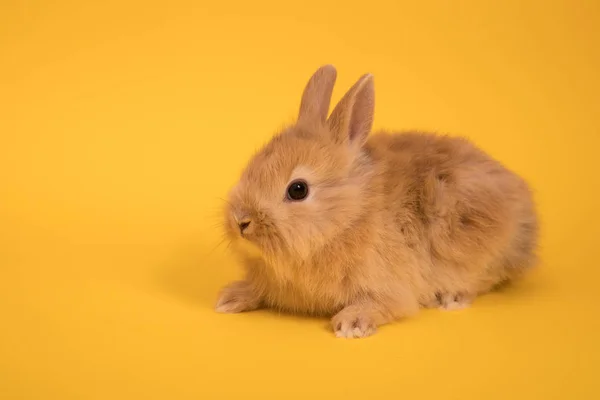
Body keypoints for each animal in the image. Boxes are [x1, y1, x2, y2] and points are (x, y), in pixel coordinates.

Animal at [216, 65, 540, 338]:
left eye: (298, 189)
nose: (241, 221)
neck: (347, 218)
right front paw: (229, 298)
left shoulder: (390, 285)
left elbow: (383, 304)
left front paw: (352, 324)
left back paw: (452, 298)